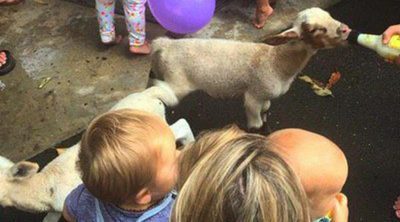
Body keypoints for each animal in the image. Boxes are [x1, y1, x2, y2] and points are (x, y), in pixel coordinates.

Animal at [150, 7, 350, 128]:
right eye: (314, 30)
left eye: (329, 15)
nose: (346, 30)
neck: (276, 61)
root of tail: (165, 44)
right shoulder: (253, 96)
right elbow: (257, 124)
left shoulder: (265, 96)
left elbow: (266, 110)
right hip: (177, 82)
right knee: (162, 91)